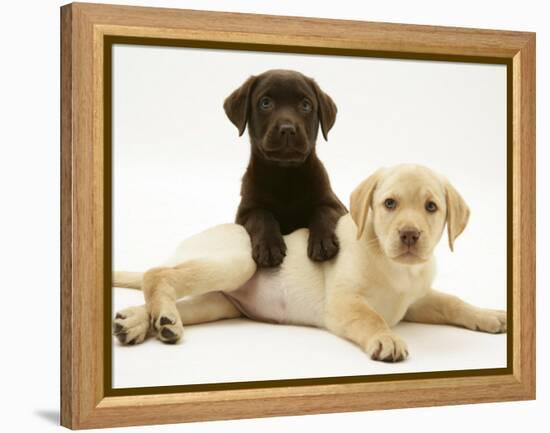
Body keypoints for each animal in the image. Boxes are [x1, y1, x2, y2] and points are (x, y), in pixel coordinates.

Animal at [115, 164, 508, 360]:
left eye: (431, 207)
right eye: (389, 204)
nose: (410, 235)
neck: (398, 268)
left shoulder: (415, 301)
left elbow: (453, 302)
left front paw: (489, 315)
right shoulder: (344, 303)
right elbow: (372, 317)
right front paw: (386, 338)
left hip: (218, 302)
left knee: (163, 300)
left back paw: (142, 322)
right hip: (238, 261)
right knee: (156, 274)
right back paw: (160, 317)